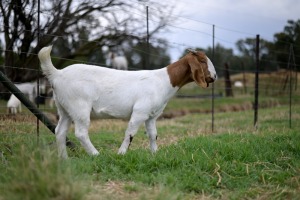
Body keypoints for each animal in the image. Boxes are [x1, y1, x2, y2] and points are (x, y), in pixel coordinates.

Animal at [38, 46, 216, 159]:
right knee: (81, 133)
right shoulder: (140, 112)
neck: (163, 80)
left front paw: (155, 154)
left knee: (60, 131)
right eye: (202, 61)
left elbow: (153, 134)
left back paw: (64, 159)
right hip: (79, 106)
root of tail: (57, 74)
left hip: (64, 108)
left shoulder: (151, 115)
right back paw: (96, 155)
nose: (214, 77)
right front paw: (121, 154)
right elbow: (130, 133)